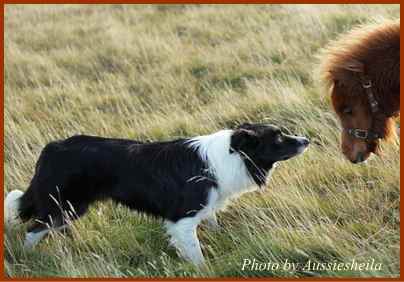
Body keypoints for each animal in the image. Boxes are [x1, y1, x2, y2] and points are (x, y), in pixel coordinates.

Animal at [3, 123, 310, 264]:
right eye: (278, 138)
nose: (307, 140)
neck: (231, 155)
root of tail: (52, 147)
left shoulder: (205, 208)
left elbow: (213, 224)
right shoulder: (182, 219)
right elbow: (196, 253)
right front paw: (202, 269)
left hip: (67, 207)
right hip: (67, 204)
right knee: (33, 229)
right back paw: (26, 257)